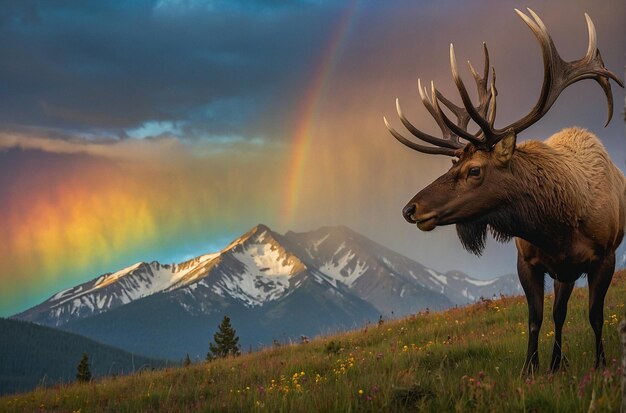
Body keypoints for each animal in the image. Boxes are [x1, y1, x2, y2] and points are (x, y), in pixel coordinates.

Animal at [382, 8, 620, 372]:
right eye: (451, 165)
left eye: (474, 170)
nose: (410, 209)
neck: (558, 225)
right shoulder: (527, 261)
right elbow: (536, 319)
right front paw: (531, 369)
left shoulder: (605, 257)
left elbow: (595, 316)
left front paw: (600, 365)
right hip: (563, 273)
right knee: (559, 313)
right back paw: (556, 363)